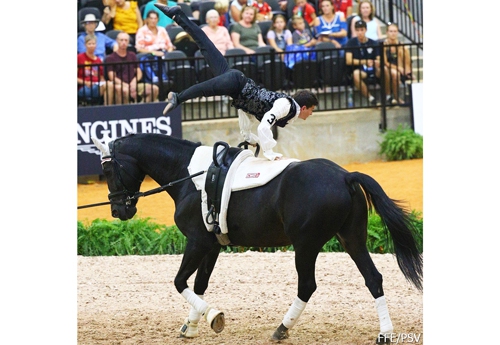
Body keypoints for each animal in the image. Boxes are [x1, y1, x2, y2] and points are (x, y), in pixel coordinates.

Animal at [91, 132, 422, 342]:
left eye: (107, 170)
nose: (118, 210)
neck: (189, 176)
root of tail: (344, 175)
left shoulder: (197, 241)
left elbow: (180, 282)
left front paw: (213, 317)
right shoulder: (212, 246)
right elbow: (199, 284)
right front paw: (192, 325)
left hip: (306, 245)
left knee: (307, 285)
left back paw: (281, 329)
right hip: (351, 239)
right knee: (373, 278)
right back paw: (385, 333)